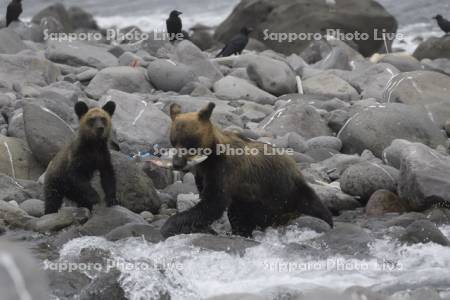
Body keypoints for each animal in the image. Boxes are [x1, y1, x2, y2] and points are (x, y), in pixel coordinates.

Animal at [162, 102, 334, 238]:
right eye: (173, 141)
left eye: (189, 142)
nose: (177, 163)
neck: (209, 158)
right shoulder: (203, 174)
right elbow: (206, 198)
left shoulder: (224, 171)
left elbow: (213, 203)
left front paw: (170, 224)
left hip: (282, 189)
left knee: (312, 203)